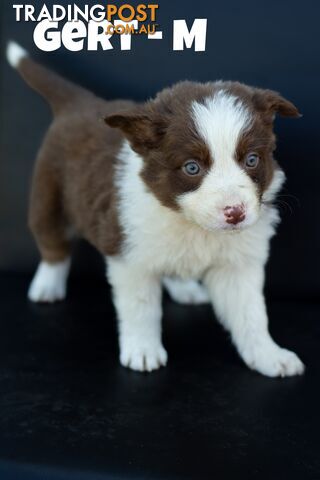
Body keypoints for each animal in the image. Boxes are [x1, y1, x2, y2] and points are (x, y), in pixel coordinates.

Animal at [6, 41, 304, 376]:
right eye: (191, 167)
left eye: (252, 159)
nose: (235, 213)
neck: (191, 224)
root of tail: (79, 104)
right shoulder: (130, 257)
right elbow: (141, 308)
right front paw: (143, 351)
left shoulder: (238, 264)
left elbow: (251, 315)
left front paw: (270, 356)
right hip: (49, 195)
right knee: (52, 242)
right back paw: (47, 286)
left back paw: (186, 289)